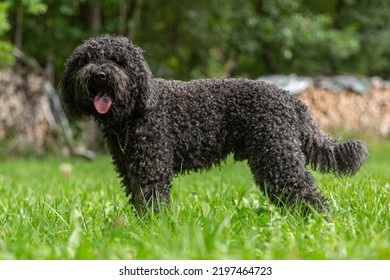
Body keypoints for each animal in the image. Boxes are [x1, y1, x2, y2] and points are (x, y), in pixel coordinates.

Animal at [61, 35, 368, 214]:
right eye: (86, 60)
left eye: (118, 60)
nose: (100, 75)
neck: (136, 112)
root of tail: (290, 98)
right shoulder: (131, 170)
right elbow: (139, 202)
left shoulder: (151, 169)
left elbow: (153, 202)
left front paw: (155, 231)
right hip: (270, 160)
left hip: (278, 155)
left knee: (306, 192)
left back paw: (319, 223)